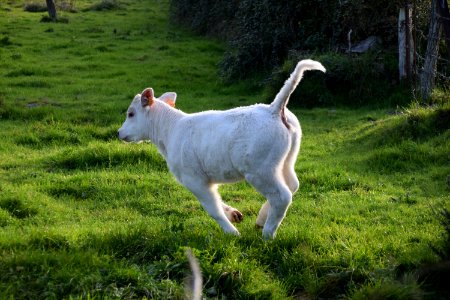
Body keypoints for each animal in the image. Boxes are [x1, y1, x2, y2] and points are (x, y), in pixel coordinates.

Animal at [118, 59, 326, 239]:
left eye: (131, 113)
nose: (119, 133)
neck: (171, 129)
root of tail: (273, 109)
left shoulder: (194, 179)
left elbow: (213, 208)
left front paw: (232, 233)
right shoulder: (206, 179)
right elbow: (218, 201)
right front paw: (233, 214)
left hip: (260, 170)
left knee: (282, 195)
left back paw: (267, 234)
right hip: (285, 161)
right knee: (292, 185)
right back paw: (261, 219)